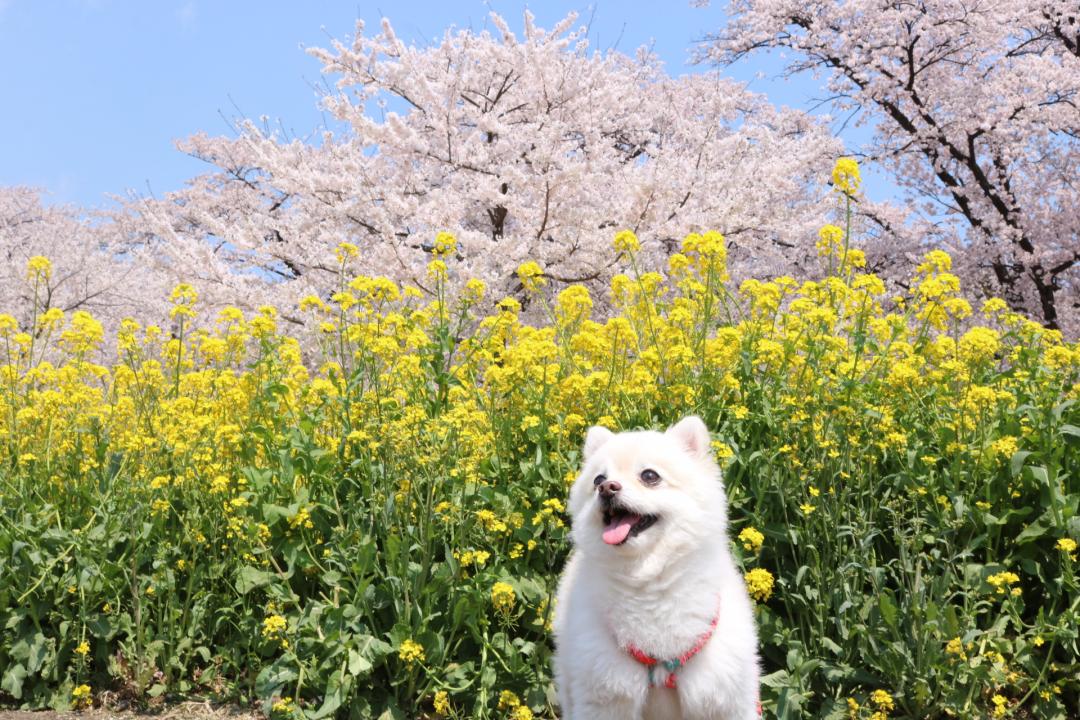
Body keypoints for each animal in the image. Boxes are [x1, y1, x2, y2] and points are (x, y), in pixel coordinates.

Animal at [552, 416, 764, 720]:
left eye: (650, 476)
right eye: (597, 480)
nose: (607, 488)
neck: (648, 580)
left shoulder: (723, 696)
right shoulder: (607, 695)